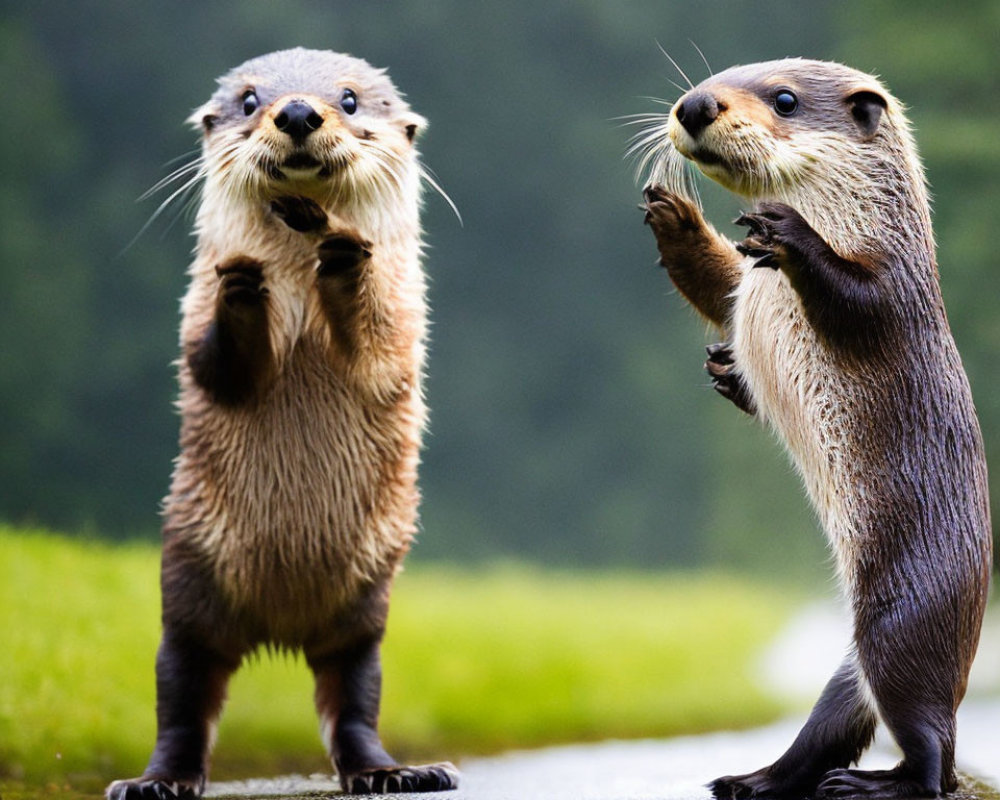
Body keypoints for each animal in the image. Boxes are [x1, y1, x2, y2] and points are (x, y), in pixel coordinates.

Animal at [104, 47, 458, 796]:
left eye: (350, 100)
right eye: (248, 99)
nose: (297, 110)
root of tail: (283, 623)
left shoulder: (402, 323)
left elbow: (375, 344)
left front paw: (343, 254)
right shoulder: (193, 320)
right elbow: (215, 365)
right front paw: (243, 282)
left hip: (366, 609)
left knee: (354, 696)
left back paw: (394, 772)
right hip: (189, 582)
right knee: (182, 691)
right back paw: (157, 779)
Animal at [640, 59, 992, 796]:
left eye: (783, 99)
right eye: (717, 76)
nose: (695, 106)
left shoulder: (896, 291)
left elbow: (852, 295)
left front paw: (790, 227)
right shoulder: (744, 286)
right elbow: (721, 285)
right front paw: (676, 222)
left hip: (900, 627)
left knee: (936, 756)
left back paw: (873, 784)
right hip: (850, 666)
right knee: (831, 726)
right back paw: (753, 778)